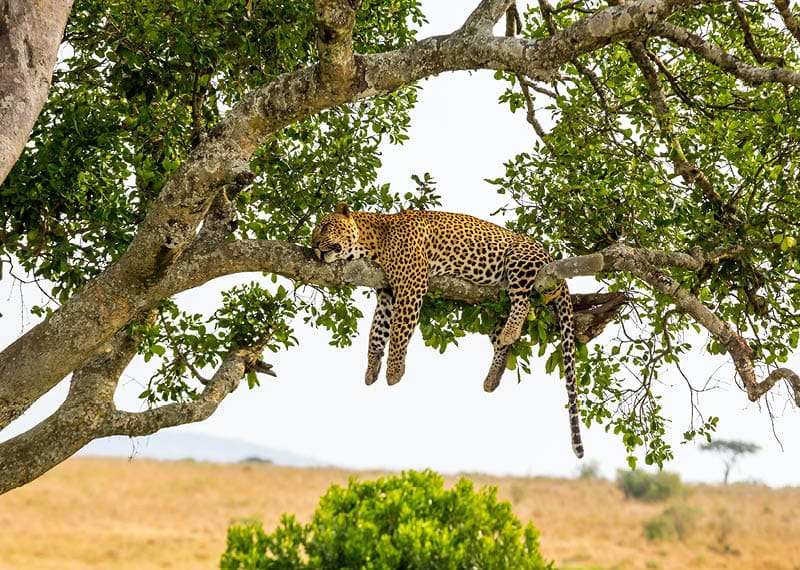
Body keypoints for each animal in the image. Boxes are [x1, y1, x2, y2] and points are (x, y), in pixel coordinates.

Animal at [311, 202, 584, 458]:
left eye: (325, 226)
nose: (313, 245)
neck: (373, 241)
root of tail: (550, 257)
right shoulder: (387, 294)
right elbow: (376, 333)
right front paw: (371, 369)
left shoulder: (412, 284)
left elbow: (399, 330)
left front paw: (394, 372)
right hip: (492, 307)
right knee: (502, 342)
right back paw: (493, 376)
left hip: (520, 259)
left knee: (524, 302)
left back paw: (510, 332)